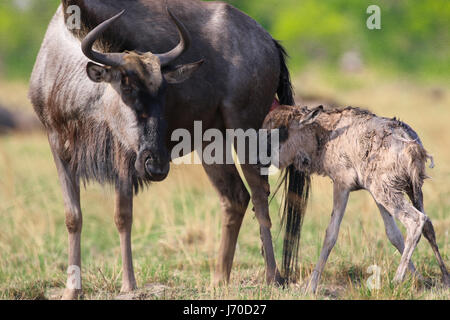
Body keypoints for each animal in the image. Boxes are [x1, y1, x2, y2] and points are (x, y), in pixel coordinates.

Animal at [262, 104, 448, 292]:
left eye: (278, 131)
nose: (260, 160)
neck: (326, 134)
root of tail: (410, 143)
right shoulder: (373, 193)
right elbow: (393, 234)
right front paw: (419, 279)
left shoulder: (342, 185)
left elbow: (331, 235)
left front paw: (311, 286)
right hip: (409, 190)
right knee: (428, 226)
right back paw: (445, 278)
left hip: (387, 192)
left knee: (416, 220)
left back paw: (395, 281)